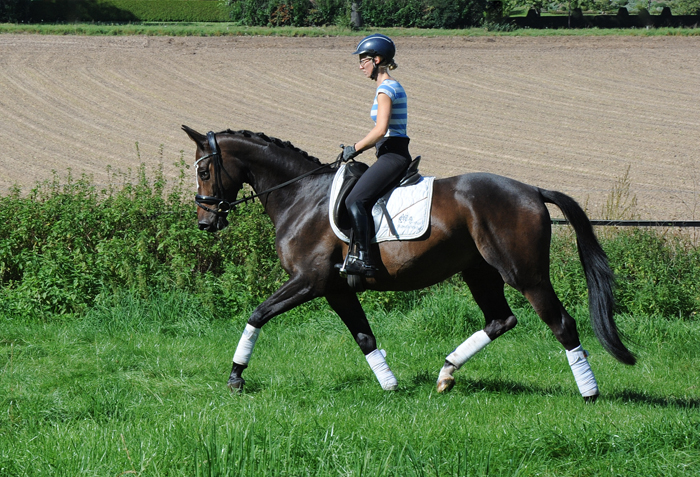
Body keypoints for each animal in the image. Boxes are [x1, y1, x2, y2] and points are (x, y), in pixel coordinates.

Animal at [182, 124, 636, 400]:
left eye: (204, 171)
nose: (205, 222)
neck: (300, 195)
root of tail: (531, 189)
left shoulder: (309, 281)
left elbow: (257, 314)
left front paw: (236, 377)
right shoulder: (335, 289)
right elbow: (364, 337)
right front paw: (390, 385)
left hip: (525, 274)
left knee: (562, 323)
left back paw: (589, 393)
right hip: (479, 271)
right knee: (500, 320)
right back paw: (446, 373)